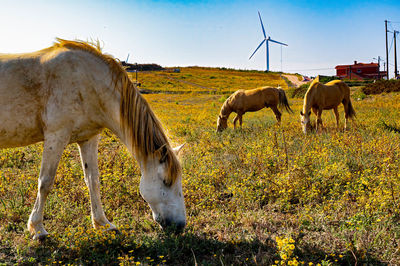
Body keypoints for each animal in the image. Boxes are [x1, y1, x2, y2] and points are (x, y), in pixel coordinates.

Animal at [0, 38, 187, 240]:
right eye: (166, 181)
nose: (180, 225)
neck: (87, 81)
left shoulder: (88, 138)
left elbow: (93, 182)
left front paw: (103, 224)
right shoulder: (55, 137)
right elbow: (45, 182)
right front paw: (38, 228)